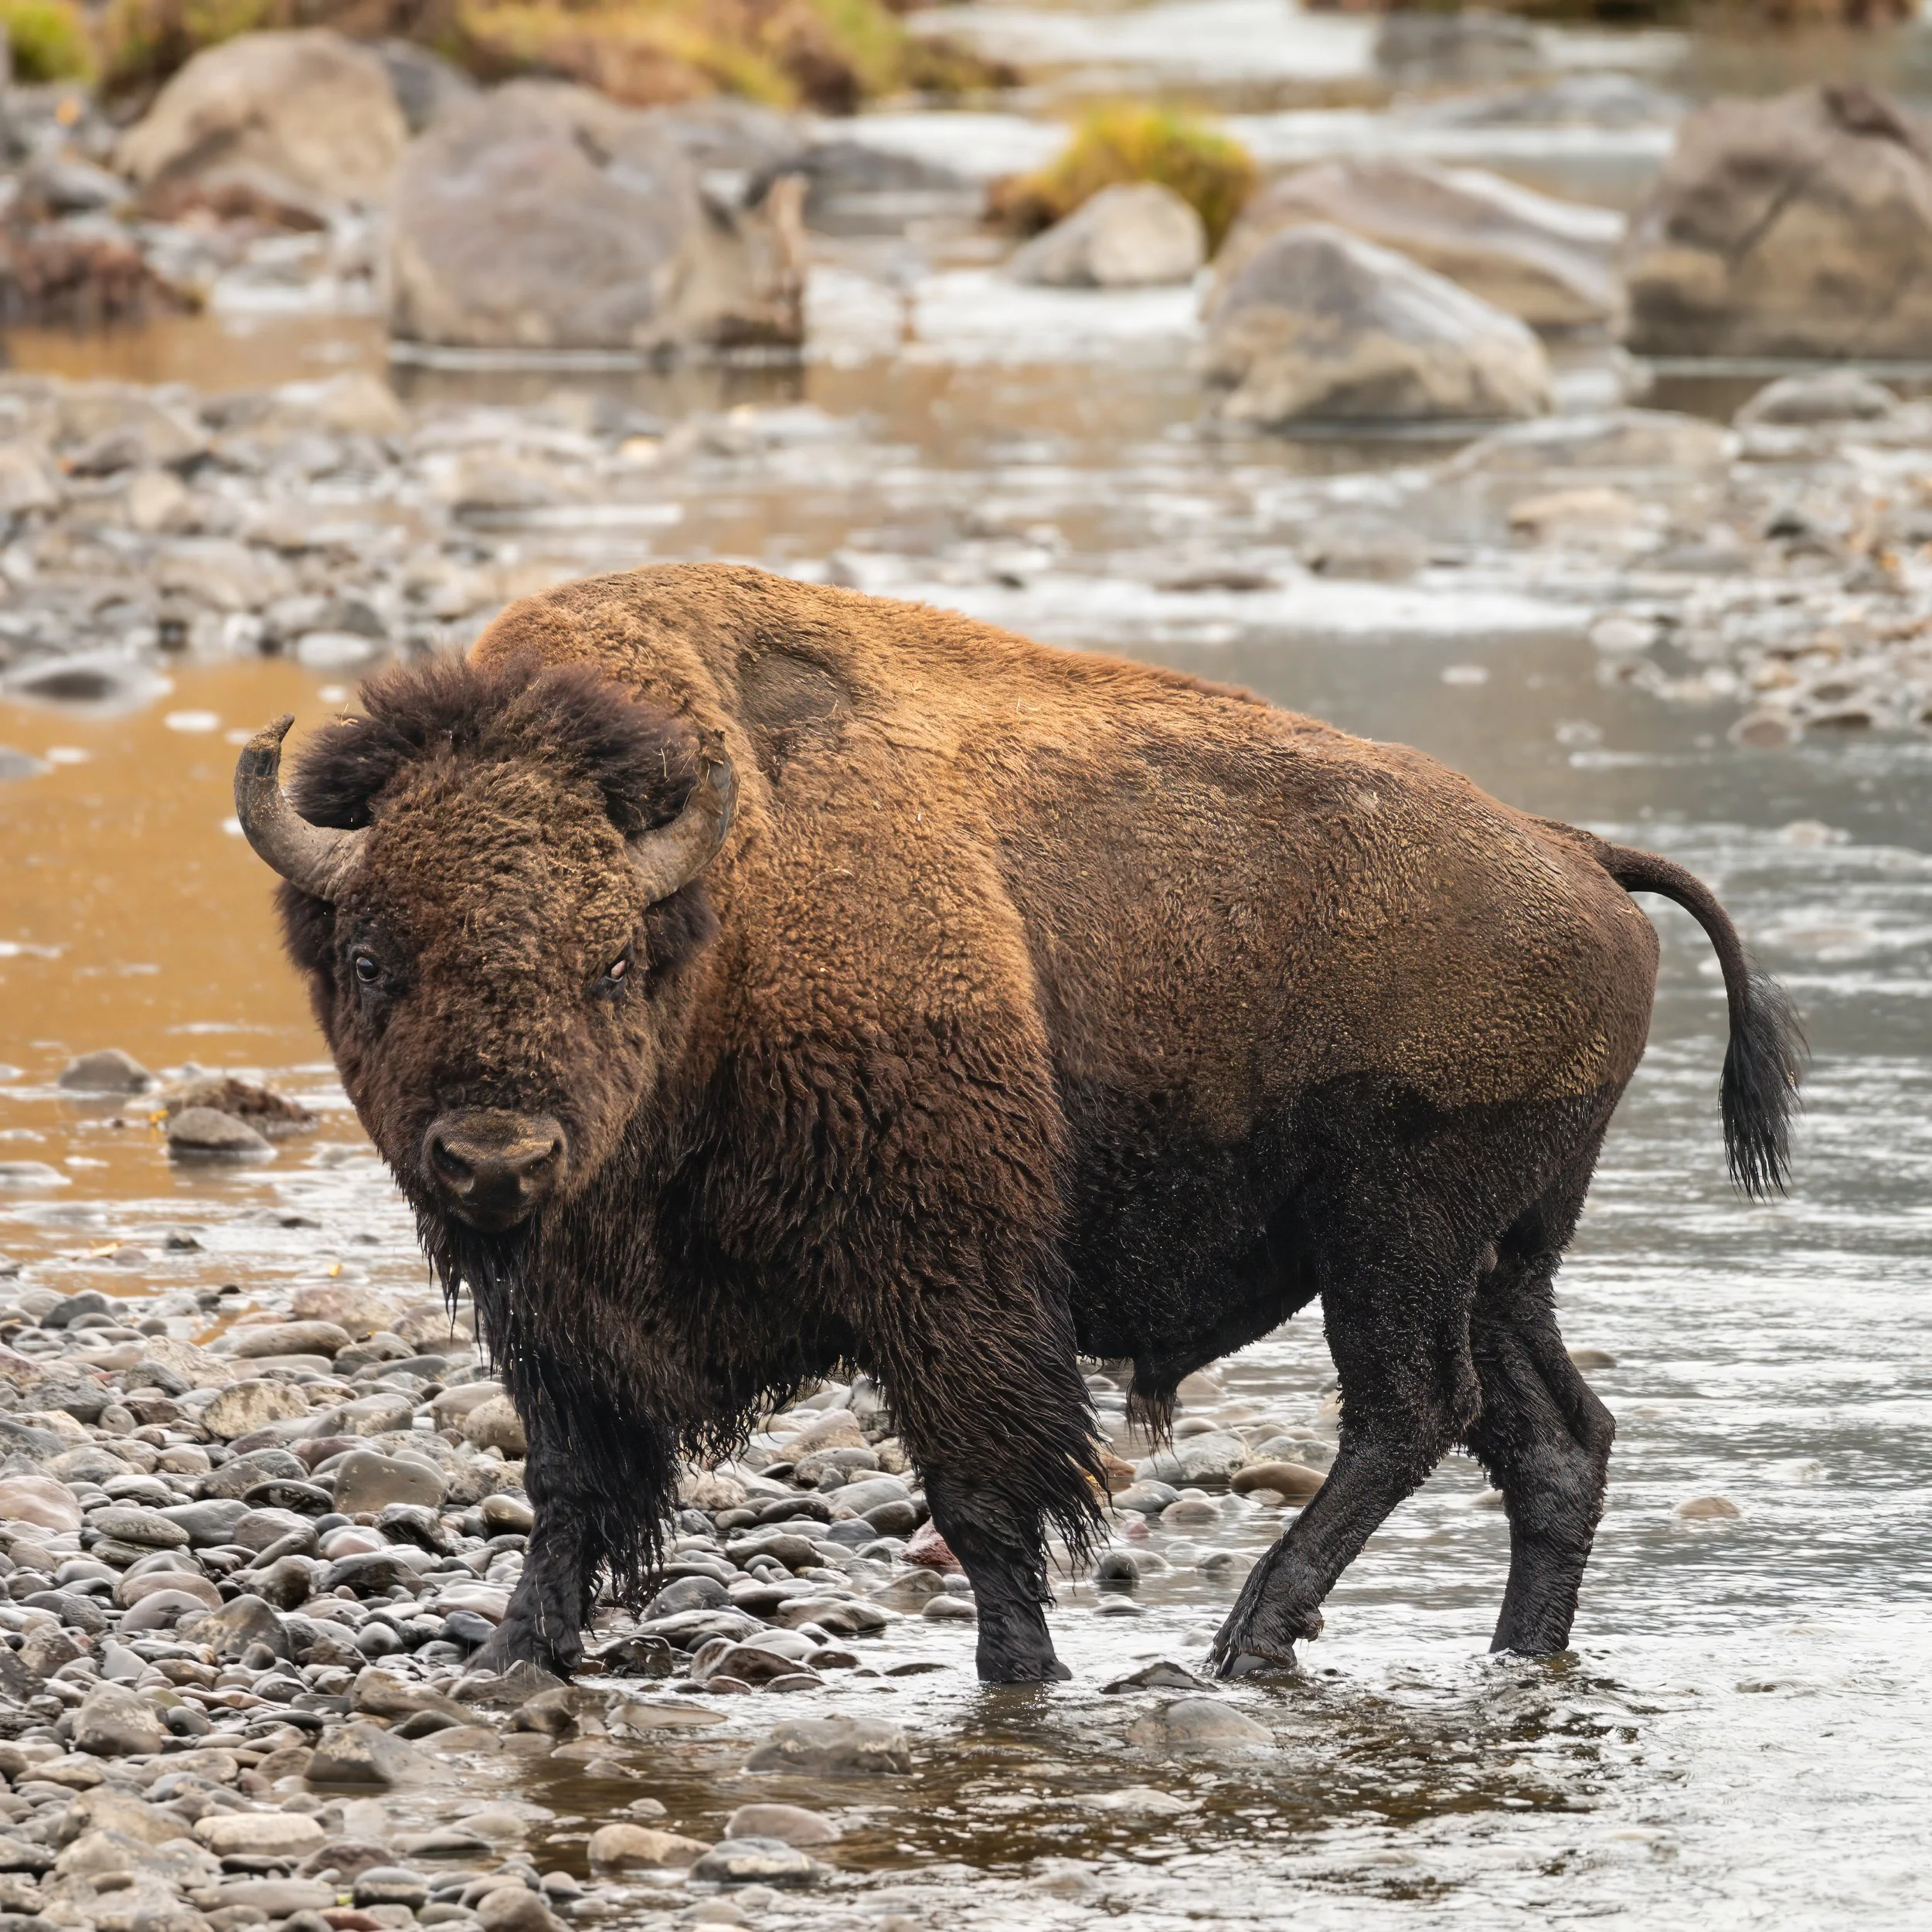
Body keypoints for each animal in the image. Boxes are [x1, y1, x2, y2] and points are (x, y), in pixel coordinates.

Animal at [234, 564, 1801, 1683]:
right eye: (370, 957)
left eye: (614, 959)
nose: (496, 1157)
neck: (724, 922)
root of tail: (1575, 851)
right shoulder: (555, 1317)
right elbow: (567, 1483)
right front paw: (512, 1655)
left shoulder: (948, 1281)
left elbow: (985, 1493)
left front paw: (1022, 1675)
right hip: (1503, 1254)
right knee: (1553, 1439)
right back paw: (1504, 1655)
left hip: (1399, 1235)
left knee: (1413, 1412)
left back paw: (1247, 1641)